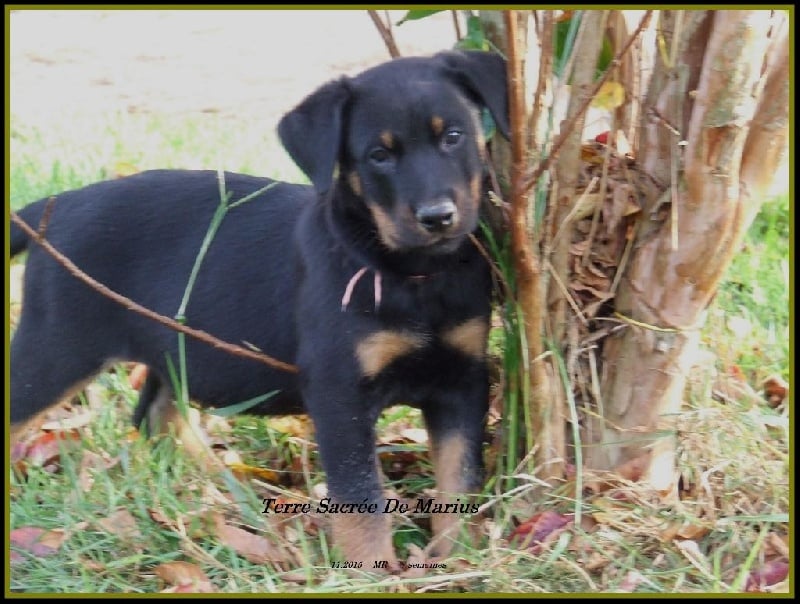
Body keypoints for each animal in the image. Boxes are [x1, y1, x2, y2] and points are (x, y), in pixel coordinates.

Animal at [9, 49, 510, 568]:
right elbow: (361, 499)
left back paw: (221, 483)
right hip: (55, 349)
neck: (412, 275)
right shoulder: (340, 391)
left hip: (170, 343)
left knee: (155, 414)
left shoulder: (462, 380)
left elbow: (460, 477)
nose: (438, 217)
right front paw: (373, 569)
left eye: (453, 136)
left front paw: (459, 559)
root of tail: (50, 208)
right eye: (379, 156)